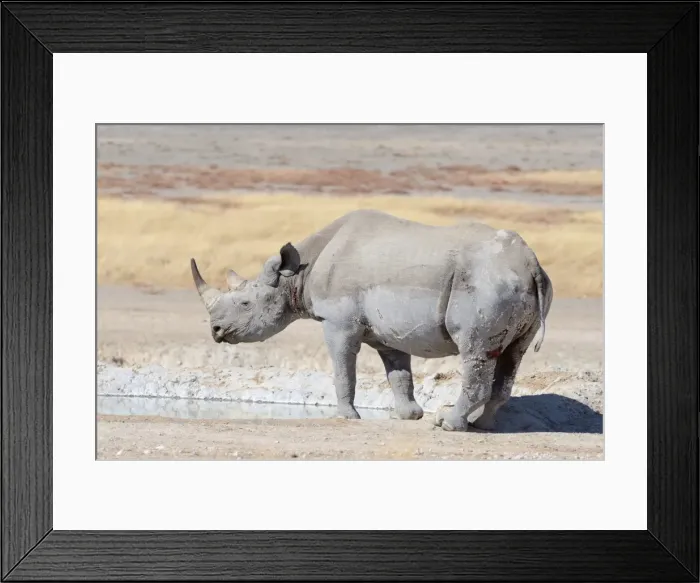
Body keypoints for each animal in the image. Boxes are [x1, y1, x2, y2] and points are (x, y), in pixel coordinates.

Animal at [190, 209, 553, 431]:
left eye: (245, 303)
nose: (216, 330)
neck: (296, 274)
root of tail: (530, 263)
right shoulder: (388, 330)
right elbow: (398, 373)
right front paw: (407, 415)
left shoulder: (338, 323)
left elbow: (343, 370)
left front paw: (348, 417)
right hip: (514, 287)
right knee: (512, 355)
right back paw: (481, 425)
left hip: (486, 284)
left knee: (475, 350)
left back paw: (449, 425)